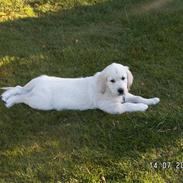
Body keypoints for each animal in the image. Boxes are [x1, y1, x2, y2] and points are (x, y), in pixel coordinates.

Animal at [1, 63, 159, 114]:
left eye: (123, 78)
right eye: (112, 81)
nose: (121, 90)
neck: (108, 90)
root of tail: (36, 85)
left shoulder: (125, 94)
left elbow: (136, 97)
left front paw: (152, 100)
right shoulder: (113, 108)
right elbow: (128, 106)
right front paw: (142, 107)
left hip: (35, 86)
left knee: (19, 88)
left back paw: (6, 96)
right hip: (40, 102)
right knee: (22, 97)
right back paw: (9, 101)